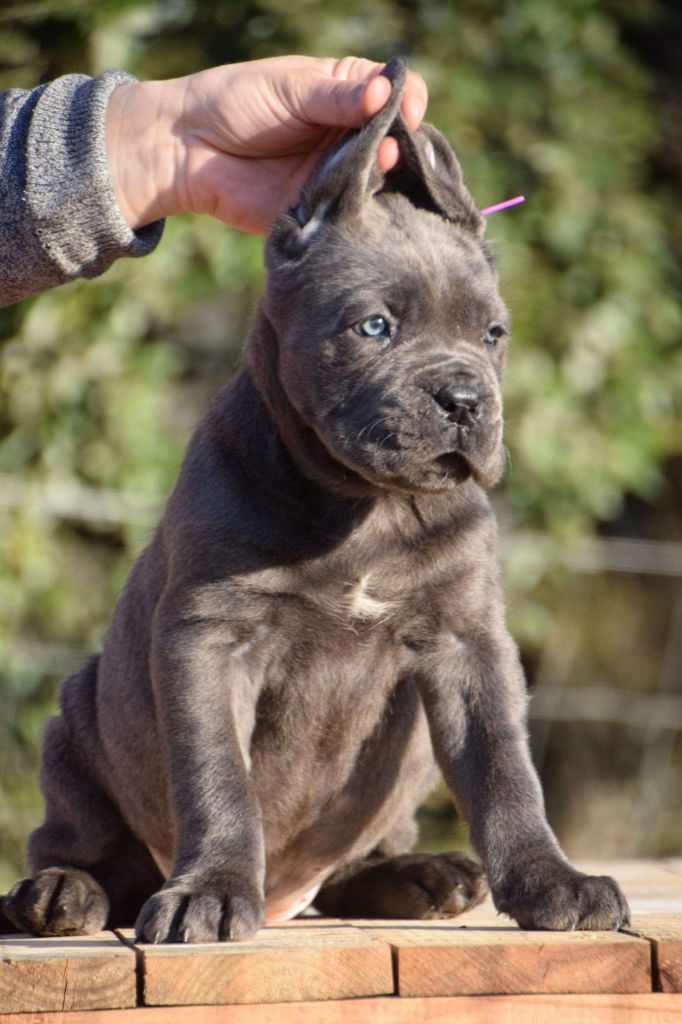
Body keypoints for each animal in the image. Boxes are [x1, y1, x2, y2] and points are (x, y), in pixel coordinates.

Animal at [2, 58, 626, 942]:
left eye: (492, 334)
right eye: (373, 327)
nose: (465, 399)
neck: (365, 504)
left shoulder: (468, 639)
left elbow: (507, 769)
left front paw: (553, 881)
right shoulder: (208, 639)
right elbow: (219, 779)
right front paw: (210, 891)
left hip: (404, 761)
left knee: (352, 864)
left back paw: (422, 877)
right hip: (77, 718)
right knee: (83, 844)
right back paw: (59, 894)